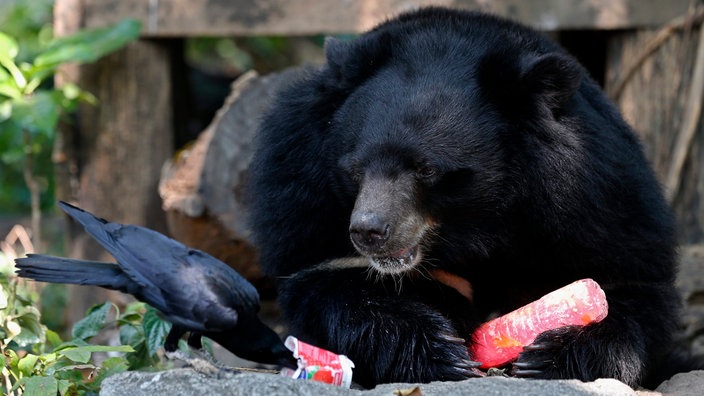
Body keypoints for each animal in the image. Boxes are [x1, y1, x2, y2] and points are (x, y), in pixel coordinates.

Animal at [249, 6, 692, 390]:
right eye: (355, 167)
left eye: (427, 169)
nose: (368, 232)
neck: (478, 226)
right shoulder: (303, 199)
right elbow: (332, 284)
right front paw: (445, 353)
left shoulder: (597, 199)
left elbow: (628, 288)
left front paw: (545, 357)